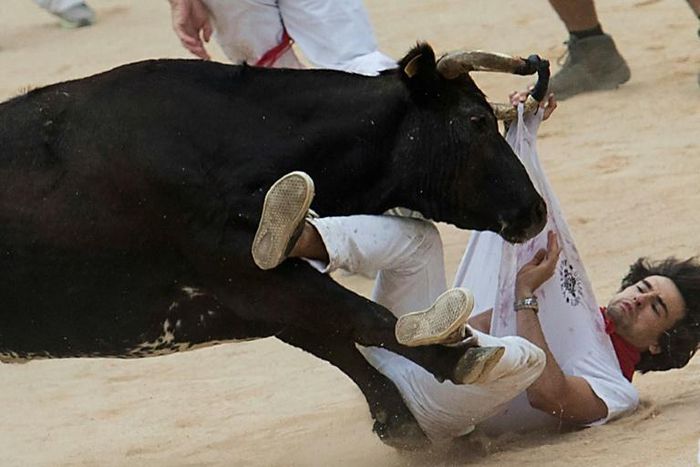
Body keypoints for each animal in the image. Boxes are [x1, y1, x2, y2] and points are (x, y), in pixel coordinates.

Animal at [0, 43, 548, 449]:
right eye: (477, 121)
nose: (536, 211)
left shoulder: (247, 298)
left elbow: (341, 338)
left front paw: (404, 427)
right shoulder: (245, 276)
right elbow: (364, 318)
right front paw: (457, 358)